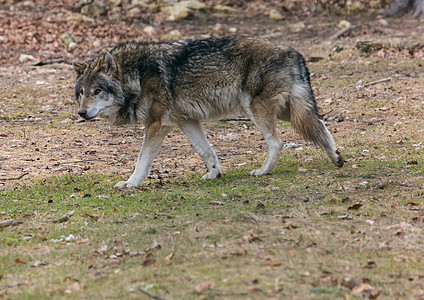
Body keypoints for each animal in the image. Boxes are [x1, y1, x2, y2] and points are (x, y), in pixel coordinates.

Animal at [73, 35, 344, 188]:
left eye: (97, 91)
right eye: (82, 92)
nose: (82, 113)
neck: (136, 75)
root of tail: (294, 52)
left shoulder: (158, 124)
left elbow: (142, 160)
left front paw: (131, 183)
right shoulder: (187, 121)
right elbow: (205, 151)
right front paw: (215, 174)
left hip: (258, 110)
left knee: (278, 142)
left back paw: (263, 171)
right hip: (290, 110)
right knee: (321, 126)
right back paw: (336, 157)